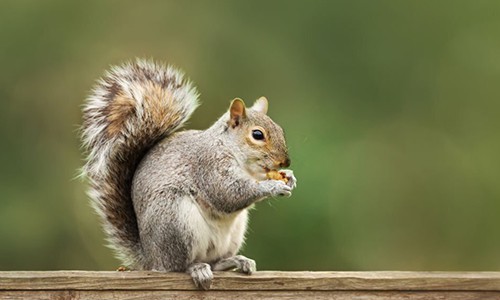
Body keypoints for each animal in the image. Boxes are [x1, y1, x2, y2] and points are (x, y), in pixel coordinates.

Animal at [79, 57, 294, 290]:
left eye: (280, 130)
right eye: (257, 135)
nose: (285, 161)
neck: (233, 152)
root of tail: (151, 258)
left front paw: (289, 176)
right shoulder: (208, 165)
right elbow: (228, 194)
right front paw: (273, 186)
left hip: (232, 233)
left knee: (215, 262)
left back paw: (235, 261)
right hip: (175, 220)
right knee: (178, 266)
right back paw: (196, 268)